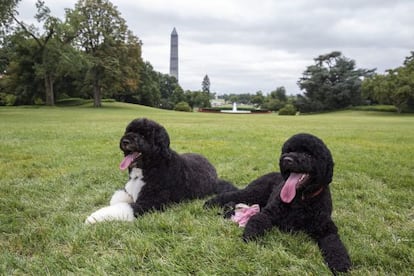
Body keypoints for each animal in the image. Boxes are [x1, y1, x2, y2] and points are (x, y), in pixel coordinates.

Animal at [86, 118, 236, 224]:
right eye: (128, 131)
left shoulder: (151, 202)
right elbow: (118, 198)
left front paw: (94, 217)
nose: (125, 141)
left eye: (144, 136)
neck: (150, 167)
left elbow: (123, 207)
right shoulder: (130, 190)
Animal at [205, 134, 350, 274]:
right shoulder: (268, 214)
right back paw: (209, 203)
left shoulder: (326, 228)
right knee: (231, 195)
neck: (301, 199)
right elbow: (257, 221)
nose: (287, 160)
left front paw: (340, 262)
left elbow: (334, 244)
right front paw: (250, 238)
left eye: (308, 154)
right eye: (288, 151)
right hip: (253, 193)